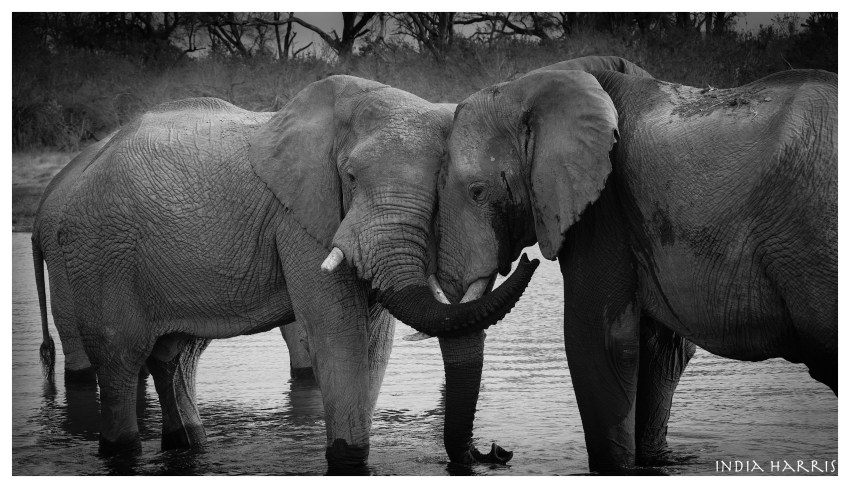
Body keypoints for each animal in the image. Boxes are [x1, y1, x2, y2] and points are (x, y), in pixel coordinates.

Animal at [30, 74, 536, 470]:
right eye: (350, 177)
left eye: (440, 188)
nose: (495, 452)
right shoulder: (300, 218)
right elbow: (338, 328)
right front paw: (348, 458)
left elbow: (373, 338)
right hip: (99, 252)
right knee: (119, 357)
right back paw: (121, 450)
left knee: (176, 356)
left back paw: (186, 446)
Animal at [434, 60, 837, 472]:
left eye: (477, 192)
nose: (498, 452)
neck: (543, 81)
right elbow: (660, 349)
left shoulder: (604, 206)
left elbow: (598, 341)